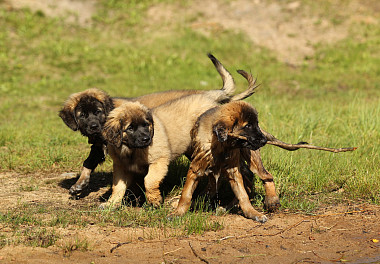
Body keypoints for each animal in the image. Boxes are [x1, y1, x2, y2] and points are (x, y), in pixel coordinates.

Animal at [57, 53, 245, 196]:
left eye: (98, 112)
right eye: (83, 115)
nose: (93, 127)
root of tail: (208, 94)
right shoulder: (98, 147)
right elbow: (87, 163)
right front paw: (80, 183)